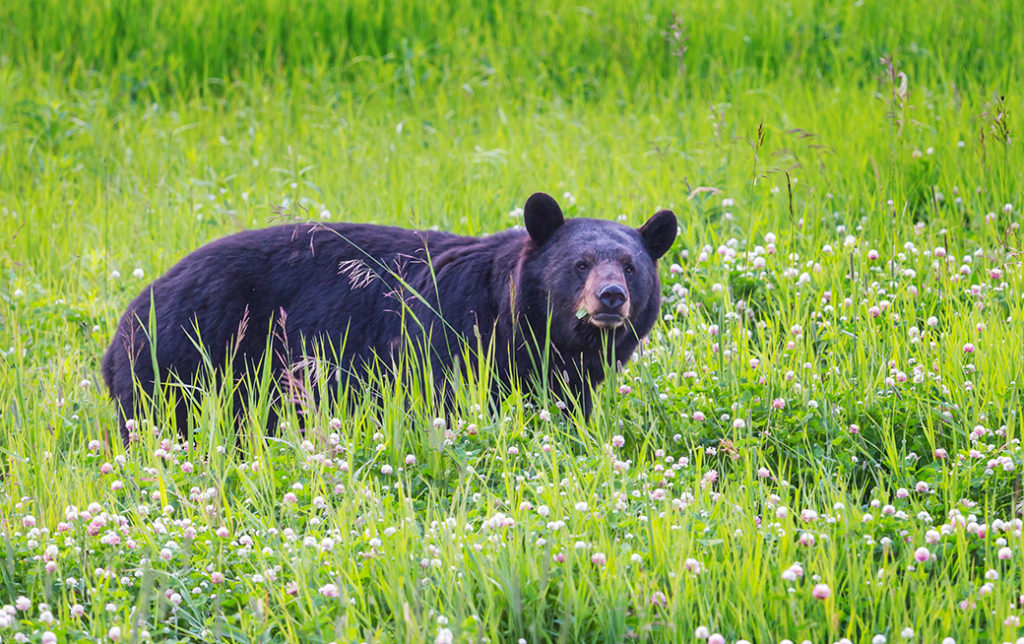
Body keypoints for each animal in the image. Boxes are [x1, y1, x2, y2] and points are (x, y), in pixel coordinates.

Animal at [101, 190, 679, 444]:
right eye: (580, 264)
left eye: (631, 266)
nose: (610, 297)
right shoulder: (450, 340)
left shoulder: (566, 377)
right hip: (184, 358)